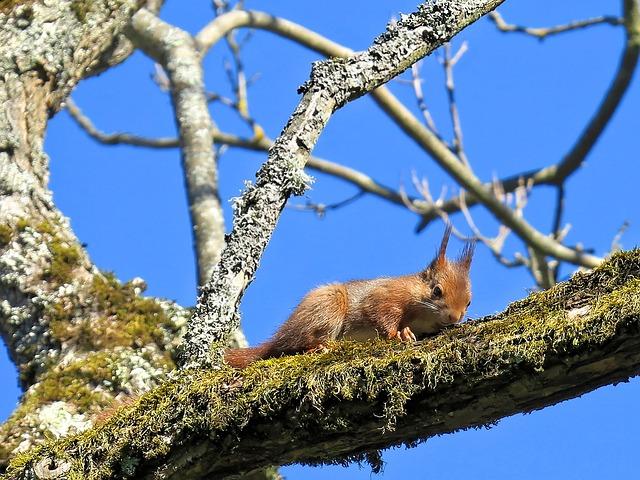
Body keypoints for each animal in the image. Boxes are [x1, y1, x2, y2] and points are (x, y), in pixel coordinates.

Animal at [224, 227, 470, 370]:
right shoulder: (387, 295)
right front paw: (399, 334)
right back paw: (319, 347)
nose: (454, 317)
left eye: (468, 302)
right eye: (437, 291)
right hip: (327, 307)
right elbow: (380, 313)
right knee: (297, 344)